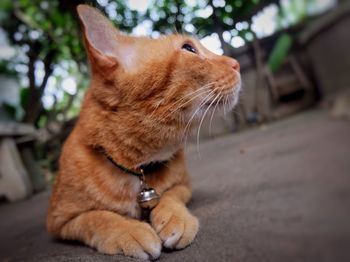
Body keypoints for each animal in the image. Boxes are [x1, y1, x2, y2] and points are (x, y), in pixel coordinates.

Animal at [47, 4, 241, 260]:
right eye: (189, 48)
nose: (236, 63)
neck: (139, 168)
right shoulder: (59, 221)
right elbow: (96, 217)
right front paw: (128, 231)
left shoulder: (184, 185)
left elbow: (170, 195)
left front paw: (174, 217)